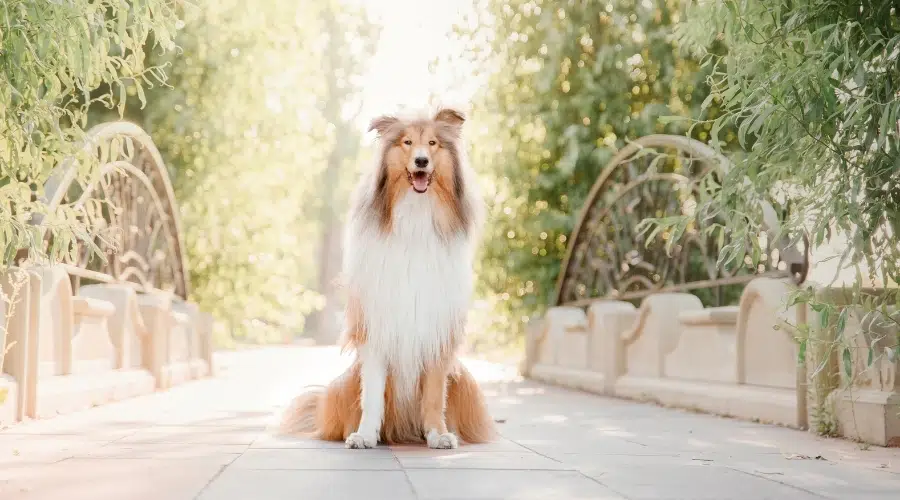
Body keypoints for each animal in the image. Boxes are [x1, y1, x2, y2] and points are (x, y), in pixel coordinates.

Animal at [280, 106, 496, 450]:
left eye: (433, 143)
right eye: (407, 142)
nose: (421, 161)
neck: (415, 215)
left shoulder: (437, 330)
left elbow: (434, 396)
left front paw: (438, 434)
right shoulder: (375, 324)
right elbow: (372, 393)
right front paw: (365, 435)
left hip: (465, 381)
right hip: (342, 385)